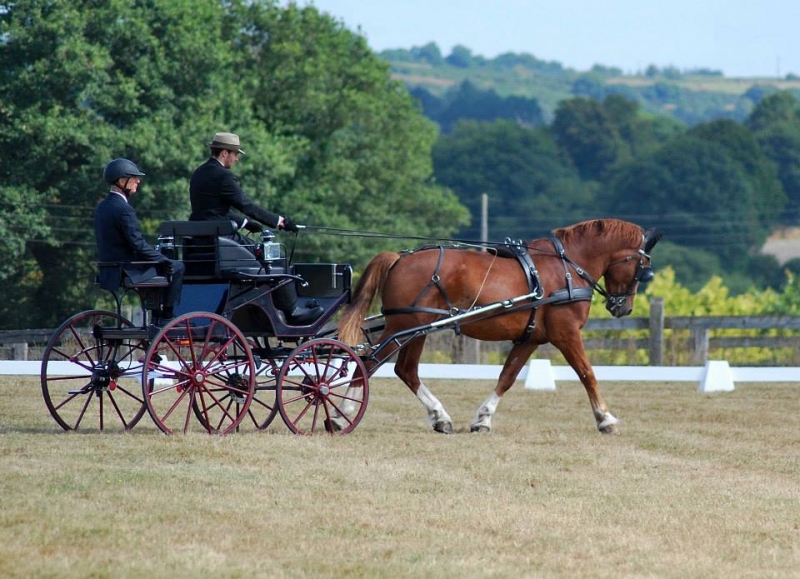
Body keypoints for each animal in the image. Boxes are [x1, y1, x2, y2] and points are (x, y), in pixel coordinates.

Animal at [338, 219, 664, 436]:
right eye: (643, 267)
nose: (623, 307)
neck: (567, 267)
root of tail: (398, 259)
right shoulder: (566, 334)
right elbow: (587, 373)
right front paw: (605, 419)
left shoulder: (530, 339)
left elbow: (507, 377)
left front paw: (483, 419)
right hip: (408, 326)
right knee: (369, 363)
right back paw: (345, 414)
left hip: (416, 329)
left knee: (404, 370)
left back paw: (440, 418)